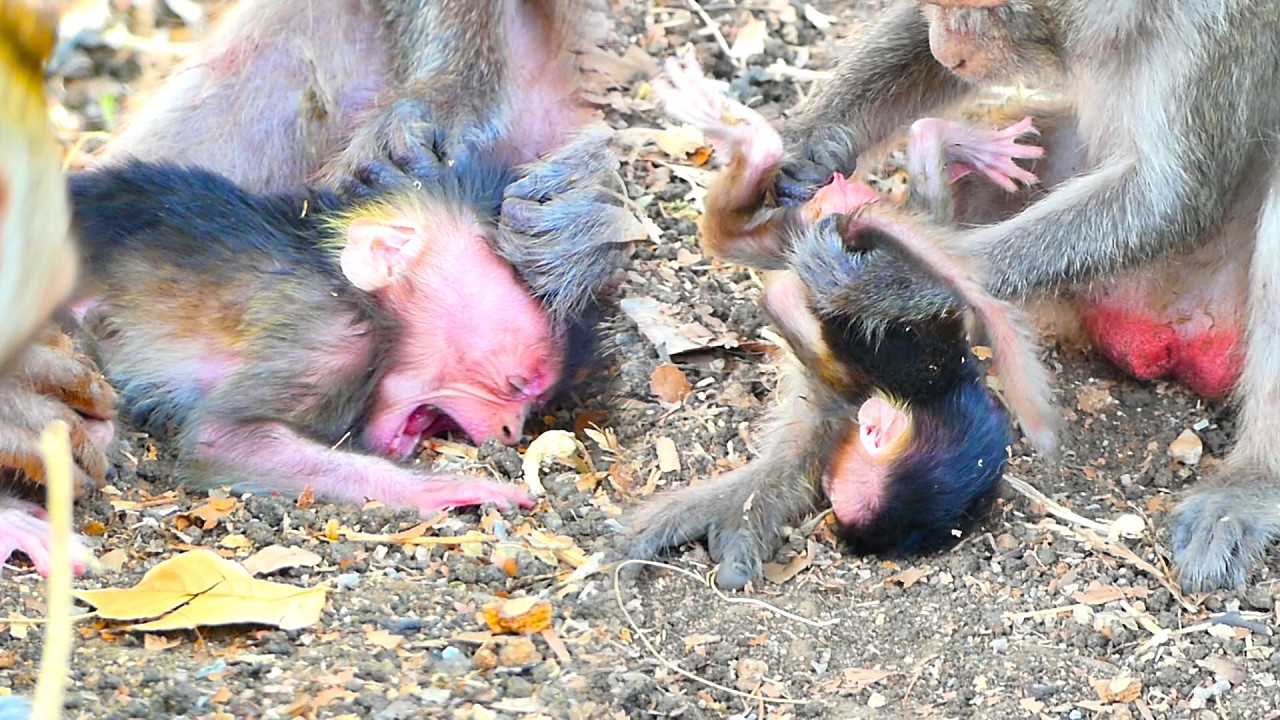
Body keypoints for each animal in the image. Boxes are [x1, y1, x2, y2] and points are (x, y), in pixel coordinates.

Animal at [769, 0, 1280, 592]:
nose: (947, 50)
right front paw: (812, 138)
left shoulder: (1220, 32)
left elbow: (1170, 200)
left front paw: (898, 278)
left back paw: (1252, 481)